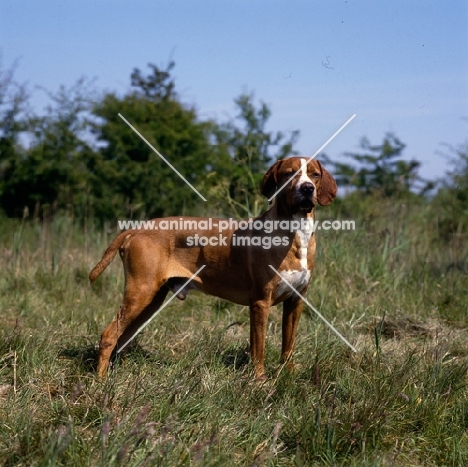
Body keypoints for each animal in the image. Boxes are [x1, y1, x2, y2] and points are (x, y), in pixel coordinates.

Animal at [88, 157, 336, 380]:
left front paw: (289, 376)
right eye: (289, 173)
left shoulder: (295, 301)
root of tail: (136, 229)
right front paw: (259, 381)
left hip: (151, 301)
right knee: (109, 336)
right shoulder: (260, 303)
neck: (294, 232)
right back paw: (101, 381)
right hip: (140, 293)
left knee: (123, 337)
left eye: (314, 174)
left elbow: (288, 345)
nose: (307, 188)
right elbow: (258, 349)